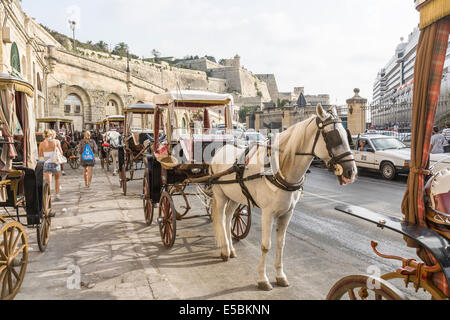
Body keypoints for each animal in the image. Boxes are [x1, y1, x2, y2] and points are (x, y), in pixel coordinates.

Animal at [209, 104, 356, 290]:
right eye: (333, 136)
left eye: (346, 135)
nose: (351, 171)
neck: (279, 168)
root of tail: (220, 150)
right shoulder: (267, 213)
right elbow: (266, 245)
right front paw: (262, 278)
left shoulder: (287, 213)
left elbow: (281, 244)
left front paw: (280, 276)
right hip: (220, 195)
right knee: (221, 219)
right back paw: (224, 250)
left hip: (234, 197)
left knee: (228, 218)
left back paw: (230, 249)